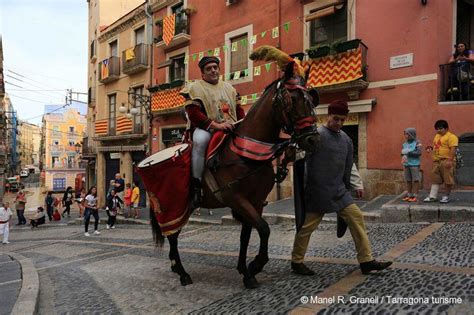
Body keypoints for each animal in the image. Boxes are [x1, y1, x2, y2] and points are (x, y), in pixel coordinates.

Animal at [149, 45, 318, 290]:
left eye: (311, 99)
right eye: (292, 99)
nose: (312, 139)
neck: (245, 153)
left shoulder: (256, 201)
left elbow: (247, 234)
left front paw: (245, 270)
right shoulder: (237, 198)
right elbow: (264, 228)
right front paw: (255, 265)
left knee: (175, 234)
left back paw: (175, 266)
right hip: (172, 205)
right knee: (172, 235)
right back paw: (182, 272)